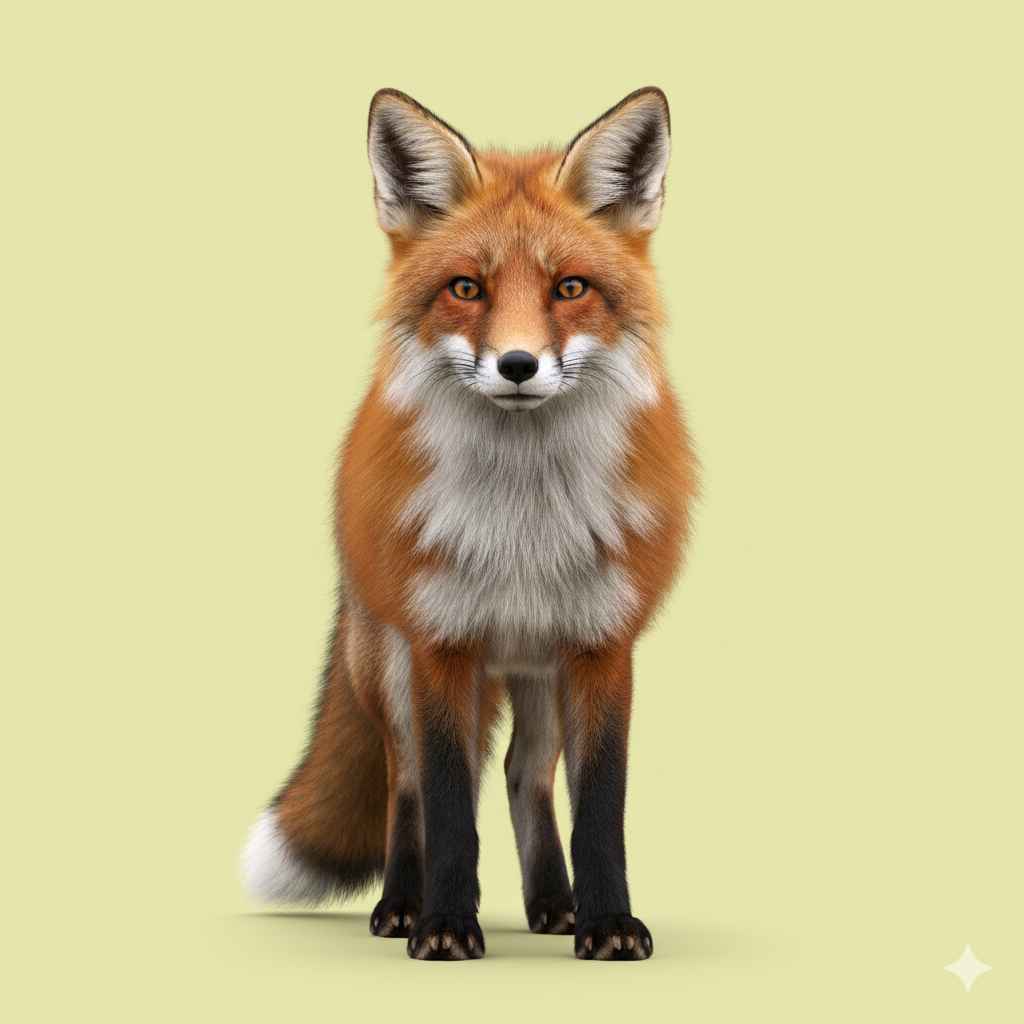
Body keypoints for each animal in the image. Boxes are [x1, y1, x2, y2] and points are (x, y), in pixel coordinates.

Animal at [242, 87, 698, 961]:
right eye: (466, 288)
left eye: (569, 288)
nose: (518, 365)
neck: (523, 522)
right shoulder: (441, 644)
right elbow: (449, 803)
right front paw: (445, 925)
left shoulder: (603, 646)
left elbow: (601, 808)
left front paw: (609, 923)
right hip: (389, 666)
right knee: (405, 783)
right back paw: (399, 906)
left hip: (540, 672)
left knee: (525, 773)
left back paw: (553, 903)